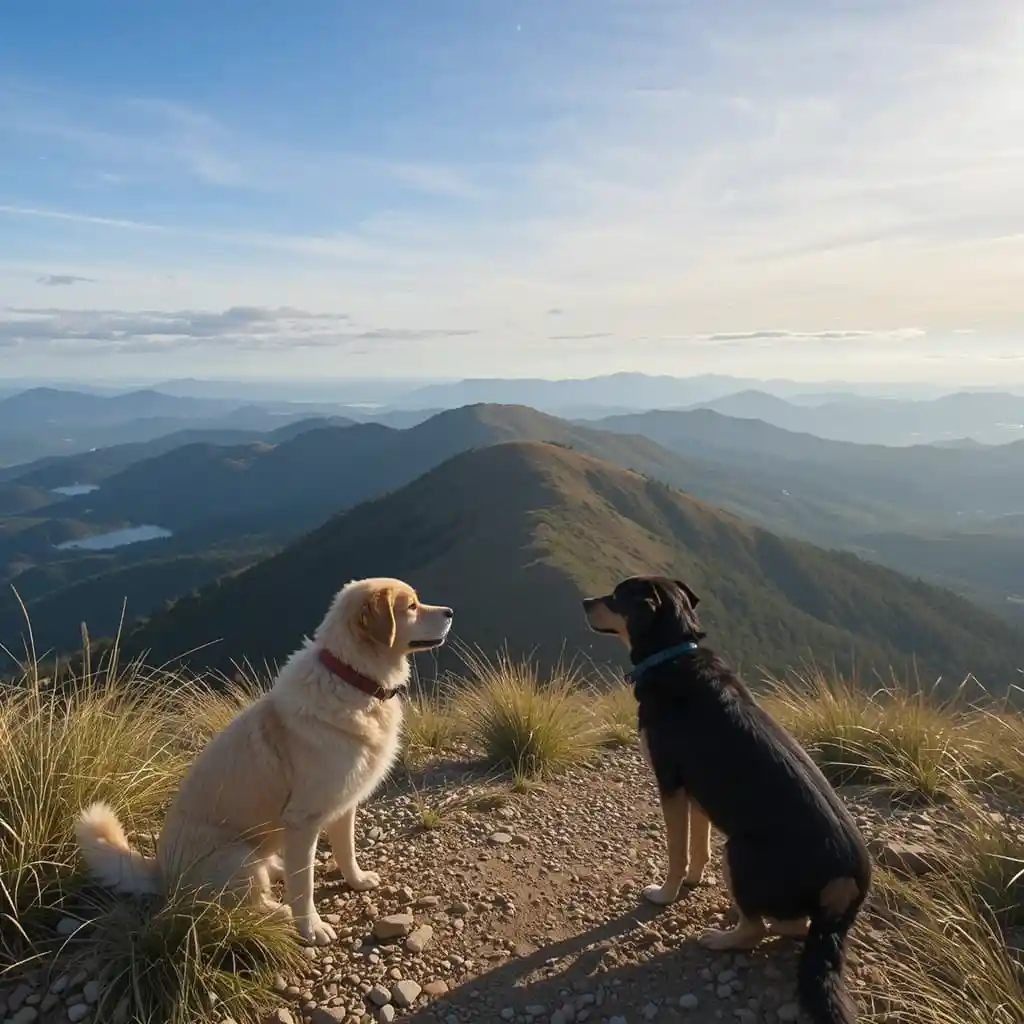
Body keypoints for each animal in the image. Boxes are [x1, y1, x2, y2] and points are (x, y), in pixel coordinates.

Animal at [75, 577, 452, 942]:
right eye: (412, 606)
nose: (450, 612)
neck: (352, 678)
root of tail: (162, 873)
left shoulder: (344, 804)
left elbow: (346, 851)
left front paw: (357, 880)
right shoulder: (303, 819)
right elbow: (304, 888)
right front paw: (310, 928)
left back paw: (278, 869)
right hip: (237, 858)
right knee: (236, 907)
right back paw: (279, 913)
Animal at [585, 577, 872, 1024]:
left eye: (615, 597)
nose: (583, 602)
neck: (673, 653)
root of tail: (847, 882)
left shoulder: (669, 783)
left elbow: (677, 850)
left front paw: (665, 894)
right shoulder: (696, 792)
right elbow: (698, 845)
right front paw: (692, 881)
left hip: (739, 852)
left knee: (757, 930)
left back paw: (720, 938)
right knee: (791, 926)